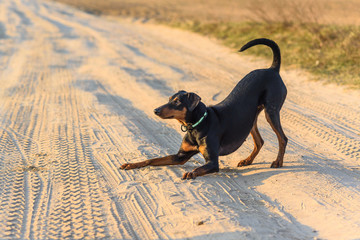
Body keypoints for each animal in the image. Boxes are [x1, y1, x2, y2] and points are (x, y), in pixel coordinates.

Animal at [121, 38, 286, 179]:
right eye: (169, 99)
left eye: (177, 102)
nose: (155, 110)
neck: (196, 124)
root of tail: (272, 69)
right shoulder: (180, 156)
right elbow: (153, 159)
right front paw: (131, 164)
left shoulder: (212, 162)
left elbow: (199, 168)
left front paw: (191, 173)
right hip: (250, 119)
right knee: (259, 141)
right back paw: (247, 161)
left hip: (271, 112)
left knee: (283, 138)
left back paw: (277, 162)